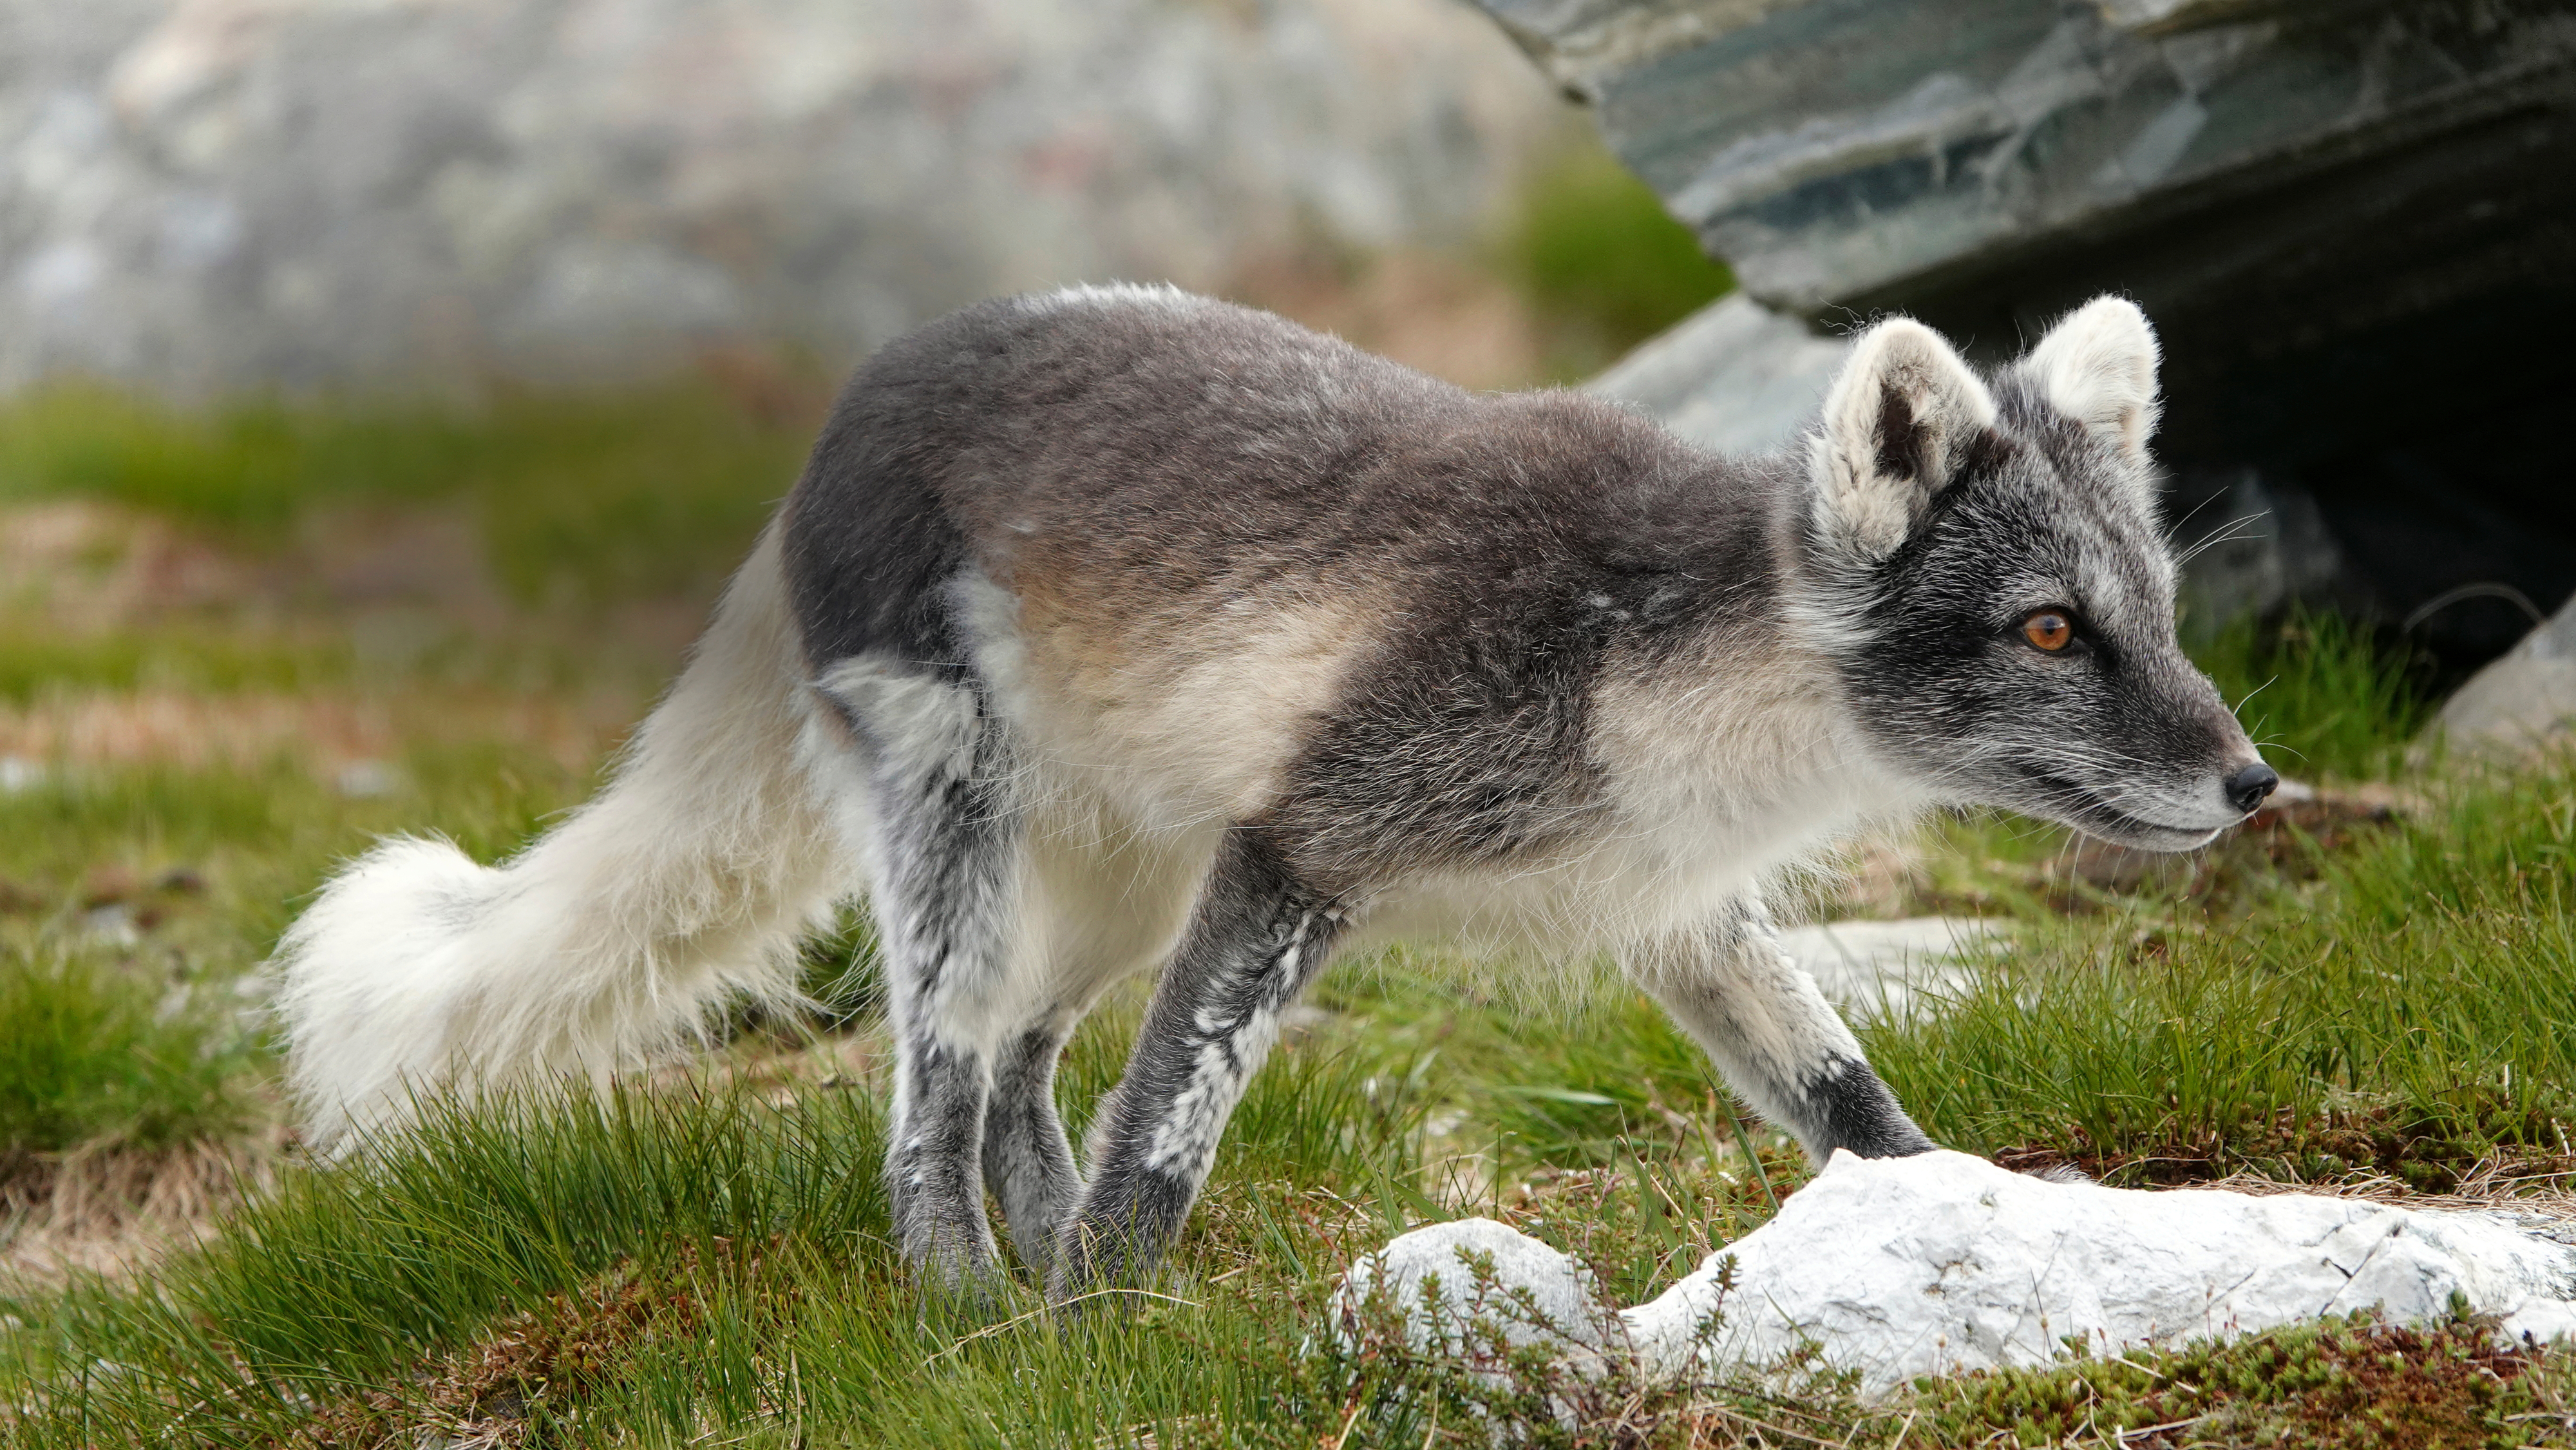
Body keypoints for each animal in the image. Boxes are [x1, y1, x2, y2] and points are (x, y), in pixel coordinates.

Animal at [277, 283, 2277, 1293]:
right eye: (2044, 631)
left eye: (2159, 615)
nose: (2257, 781)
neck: (1671, 683)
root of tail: (834, 425)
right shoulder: (1304, 844)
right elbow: (1168, 1134)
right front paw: (1098, 1338)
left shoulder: (1675, 915)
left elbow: (1852, 1101)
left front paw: (1976, 1224)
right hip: (967, 846)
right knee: (932, 1088)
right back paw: (970, 1300)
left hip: (1121, 884)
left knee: (1024, 1075)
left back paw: (1022, 1253)